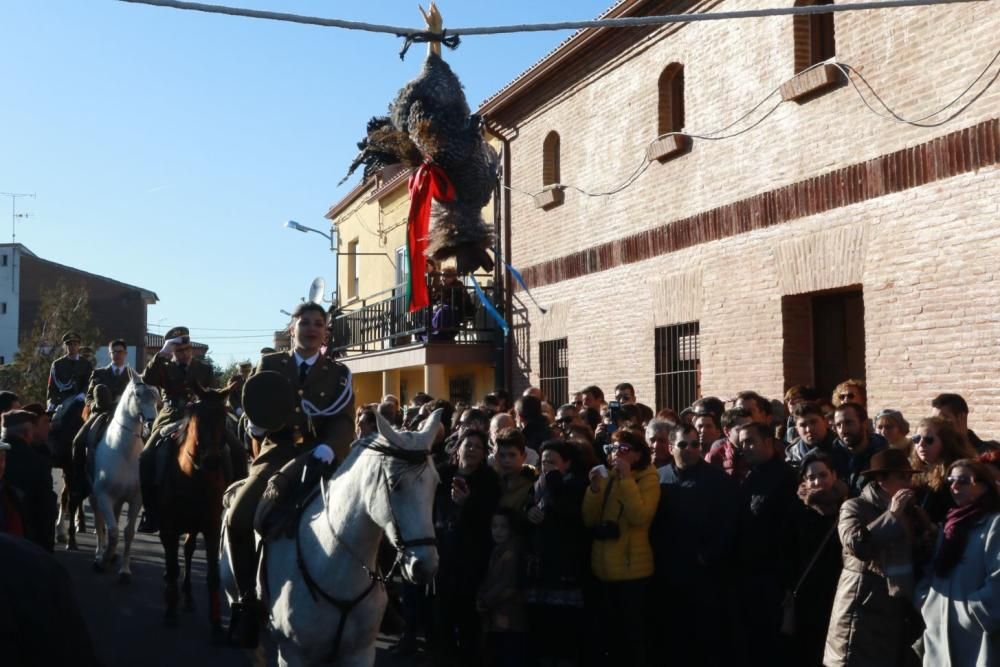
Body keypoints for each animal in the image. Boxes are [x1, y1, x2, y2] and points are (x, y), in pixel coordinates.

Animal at [91, 374, 159, 580]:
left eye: (156, 396)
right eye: (138, 394)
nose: (151, 423)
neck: (123, 452)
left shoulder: (136, 499)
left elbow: (128, 533)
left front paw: (124, 570)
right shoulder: (103, 496)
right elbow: (112, 531)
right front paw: (103, 560)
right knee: (98, 521)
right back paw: (98, 552)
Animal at [157, 384, 233, 636]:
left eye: (223, 418)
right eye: (199, 419)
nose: (212, 461)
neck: (193, 476)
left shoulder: (211, 528)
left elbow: (213, 575)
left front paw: (216, 623)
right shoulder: (169, 527)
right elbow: (172, 566)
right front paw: (170, 612)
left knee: (189, 551)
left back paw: (188, 595)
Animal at [221, 410, 444, 664]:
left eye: (436, 483)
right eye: (394, 484)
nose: (425, 566)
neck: (333, 562)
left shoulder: (360, 653)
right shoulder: (292, 655)